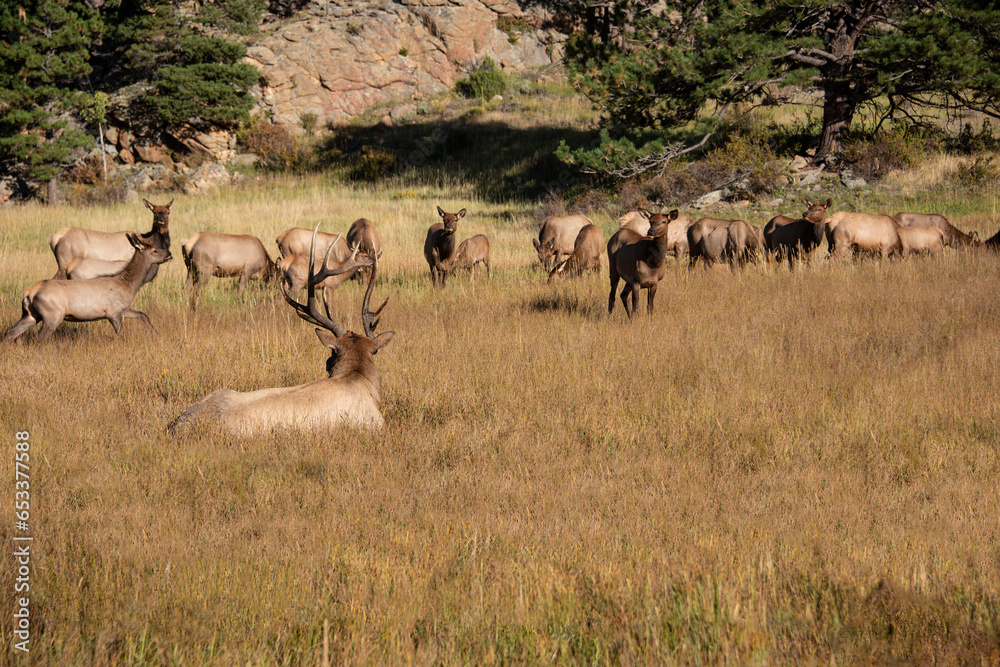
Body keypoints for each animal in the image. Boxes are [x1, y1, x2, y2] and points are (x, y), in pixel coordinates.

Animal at [5, 234, 172, 342]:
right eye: (155, 250)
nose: (169, 253)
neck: (129, 286)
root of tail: (28, 293)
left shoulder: (123, 309)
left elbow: (143, 314)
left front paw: (156, 334)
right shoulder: (113, 312)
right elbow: (122, 336)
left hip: (30, 314)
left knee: (10, 332)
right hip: (52, 315)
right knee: (39, 338)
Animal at [170, 226, 393, 436]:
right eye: (331, 352)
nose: (327, 366)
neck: (358, 378)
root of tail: (178, 425)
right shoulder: (375, 423)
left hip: (220, 391)